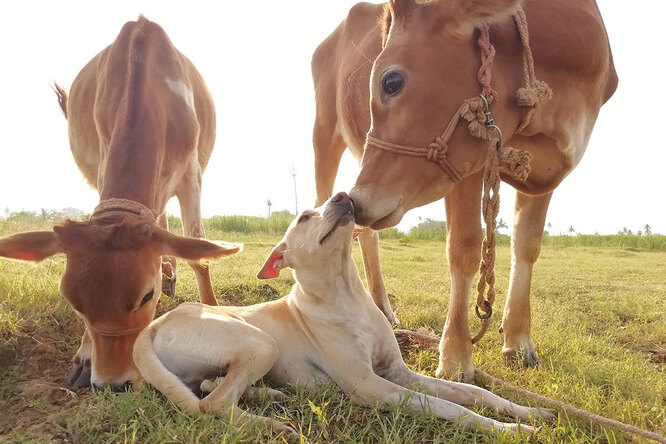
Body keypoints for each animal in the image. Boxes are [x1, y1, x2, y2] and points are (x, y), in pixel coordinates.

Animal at [0, 17, 239, 390]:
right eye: (74, 303)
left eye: (146, 296)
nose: (114, 383)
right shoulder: (100, 166)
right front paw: (85, 355)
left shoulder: (192, 172)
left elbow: (199, 252)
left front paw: (213, 312)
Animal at [134, 193, 548, 438]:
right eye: (304, 217)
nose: (343, 194)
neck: (345, 296)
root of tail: (153, 325)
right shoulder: (371, 385)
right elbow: (448, 405)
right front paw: (504, 429)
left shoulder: (398, 372)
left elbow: (472, 391)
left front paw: (526, 411)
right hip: (259, 342)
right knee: (213, 403)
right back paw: (273, 424)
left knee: (208, 387)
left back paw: (270, 395)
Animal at [310, 0, 612, 382]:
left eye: (391, 82)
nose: (358, 200)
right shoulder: (469, 162)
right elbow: (465, 248)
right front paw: (456, 357)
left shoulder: (545, 172)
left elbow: (527, 245)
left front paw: (519, 340)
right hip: (324, 135)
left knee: (365, 234)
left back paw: (382, 307)